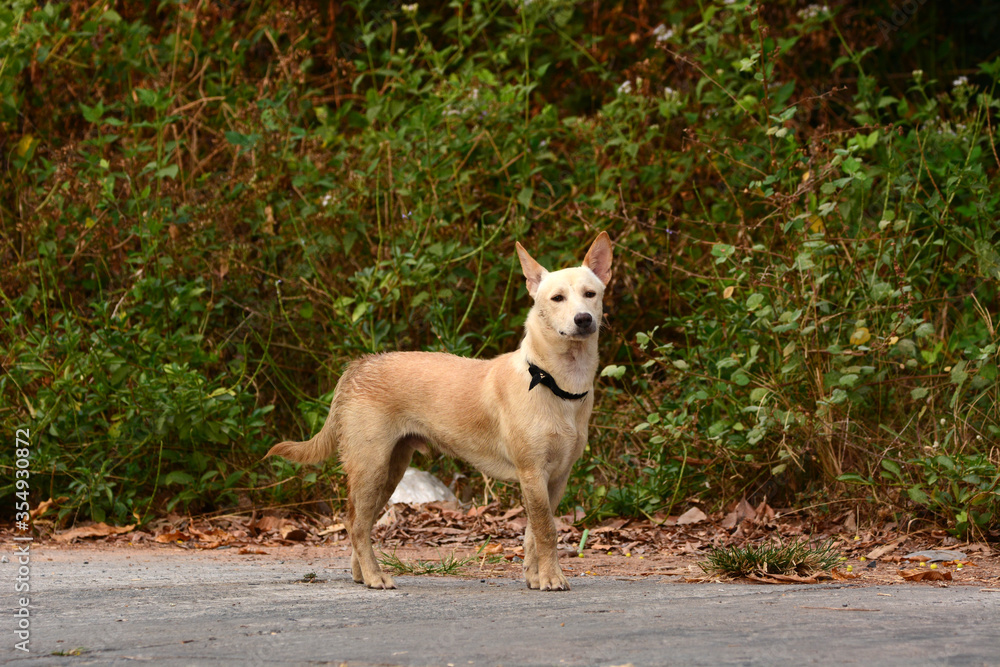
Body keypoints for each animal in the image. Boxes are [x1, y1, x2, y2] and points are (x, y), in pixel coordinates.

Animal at [268, 232, 608, 592]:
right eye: (557, 298)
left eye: (590, 294)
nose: (583, 319)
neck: (554, 383)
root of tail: (359, 366)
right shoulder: (532, 473)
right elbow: (546, 531)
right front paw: (552, 577)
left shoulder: (556, 478)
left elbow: (533, 533)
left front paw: (535, 575)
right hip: (370, 467)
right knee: (355, 523)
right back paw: (375, 576)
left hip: (390, 471)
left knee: (360, 522)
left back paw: (362, 574)